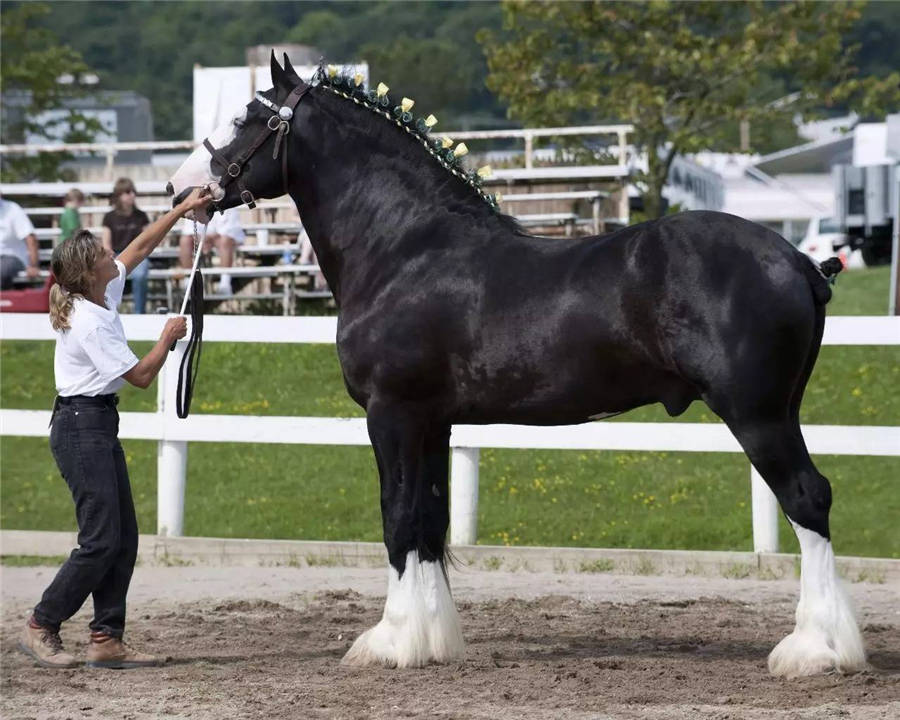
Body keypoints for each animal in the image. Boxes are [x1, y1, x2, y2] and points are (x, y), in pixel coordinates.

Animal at [169, 54, 864, 676]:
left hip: (758, 414)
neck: (406, 248)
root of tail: (799, 261)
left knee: (808, 499)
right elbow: (429, 522)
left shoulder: (391, 415)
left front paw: (390, 642)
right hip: (780, 410)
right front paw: (433, 642)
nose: (182, 191)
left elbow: (397, 520)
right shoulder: (432, 422)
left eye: (247, 117)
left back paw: (815, 651)